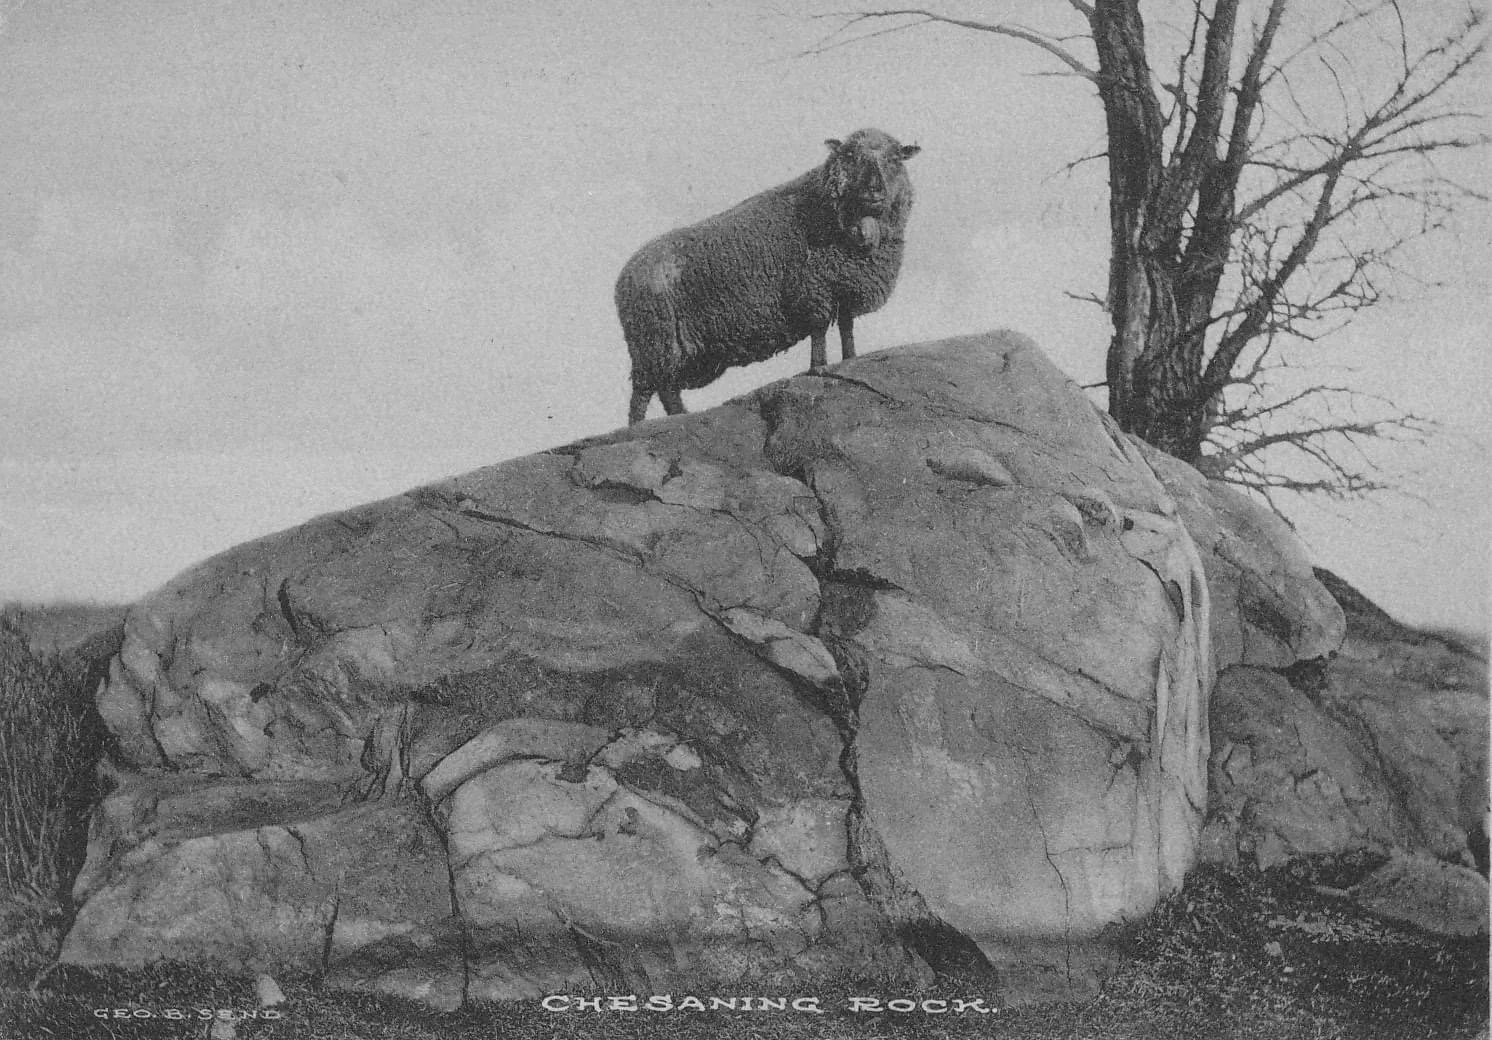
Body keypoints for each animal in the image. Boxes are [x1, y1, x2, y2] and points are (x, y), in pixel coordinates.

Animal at [615, 128, 920, 425]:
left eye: (895, 158)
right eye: (850, 155)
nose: (874, 191)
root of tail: (623, 277)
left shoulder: (844, 286)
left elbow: (847, 327)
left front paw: (849, 360)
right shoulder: (815, 291)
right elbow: (820, 330)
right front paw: (819, 366)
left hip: (669, 348)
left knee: (668, 389)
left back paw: (680, 416)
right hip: (652, 341)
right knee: (644, 391)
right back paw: (637, 426)